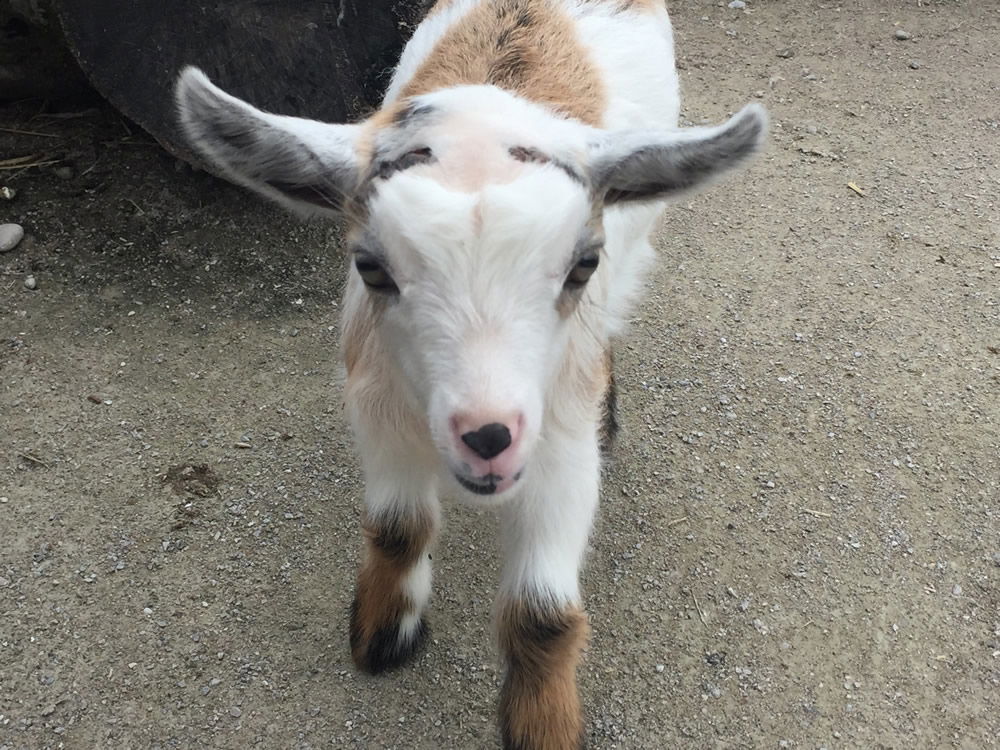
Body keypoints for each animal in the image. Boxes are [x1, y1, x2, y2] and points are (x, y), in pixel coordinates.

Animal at [174, 1, 764, 750]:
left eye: (582, 264)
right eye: (371, 267)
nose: (487, 437)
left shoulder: (556, 434)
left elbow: (542, 611)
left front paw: (542, 726)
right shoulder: (378, 398)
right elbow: (398, 526)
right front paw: (382, 633)